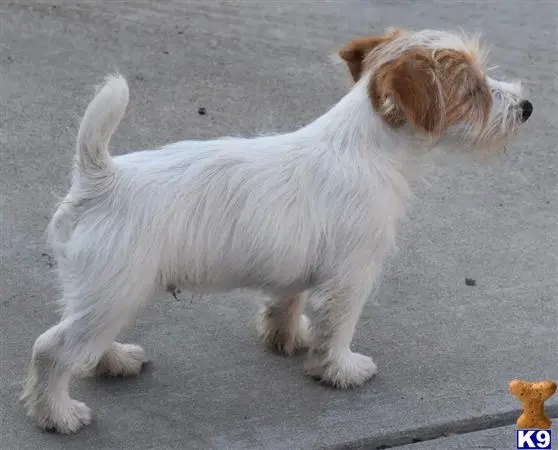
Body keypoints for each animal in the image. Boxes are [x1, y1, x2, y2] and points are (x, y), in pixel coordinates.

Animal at [21, 27, 536, 432]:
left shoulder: (299, 267)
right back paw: (58, 415)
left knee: (83, 337)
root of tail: (100, 176)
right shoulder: (352, 276)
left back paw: (114, 360)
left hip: (107, 292)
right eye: (474, 90)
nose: (528, 107)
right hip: (115, 291)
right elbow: (340, 327)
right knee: (52, 348)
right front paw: (340, 368)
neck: (366, 146)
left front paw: (288, 338)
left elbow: (288, 301)